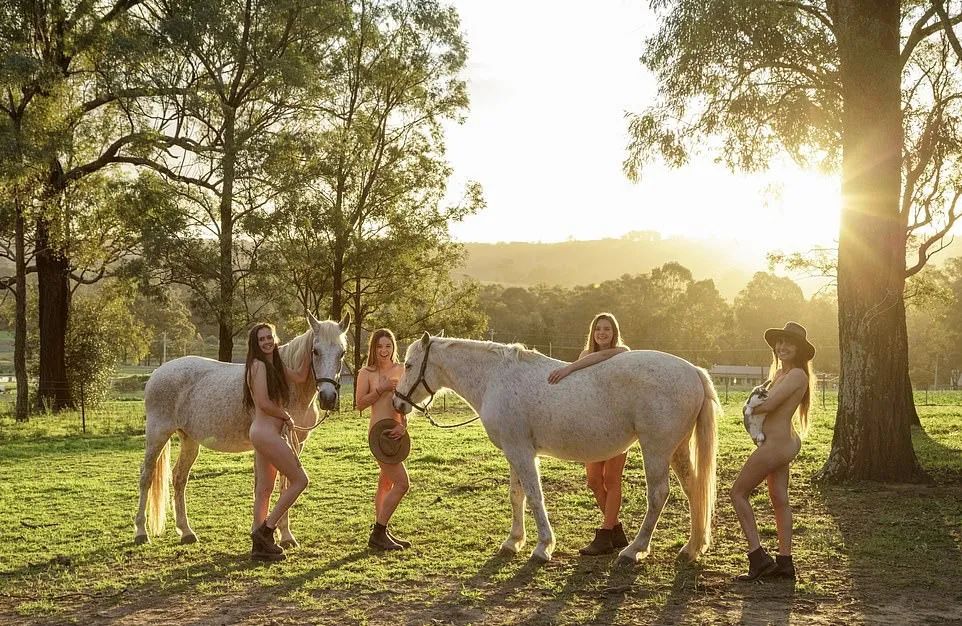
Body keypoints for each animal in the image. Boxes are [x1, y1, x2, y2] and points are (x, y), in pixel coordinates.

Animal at [133, 312, 346, 544]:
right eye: (315, 351)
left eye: (342, 353)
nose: (328, 398)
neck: (288, 386)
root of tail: (158, 372)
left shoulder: (296, 443)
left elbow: (285, 484)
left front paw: (285, 535)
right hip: (157, 435)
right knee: (146, 477)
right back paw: (141, 532)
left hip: (189, 440)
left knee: (179, 478)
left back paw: (187, 532)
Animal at [394, 334, 716, 564]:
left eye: (408, 365)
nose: (397, 402)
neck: (495, 379)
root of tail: (693, 370)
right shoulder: (515, 452)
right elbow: (517, 496)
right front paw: (513, 541)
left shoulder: (522, 453)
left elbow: (535, 496)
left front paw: (542, 547)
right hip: (677, 450)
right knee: (694, 489)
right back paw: (692, 548)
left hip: (656, 451)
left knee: (658, 495)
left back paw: (633, 550)